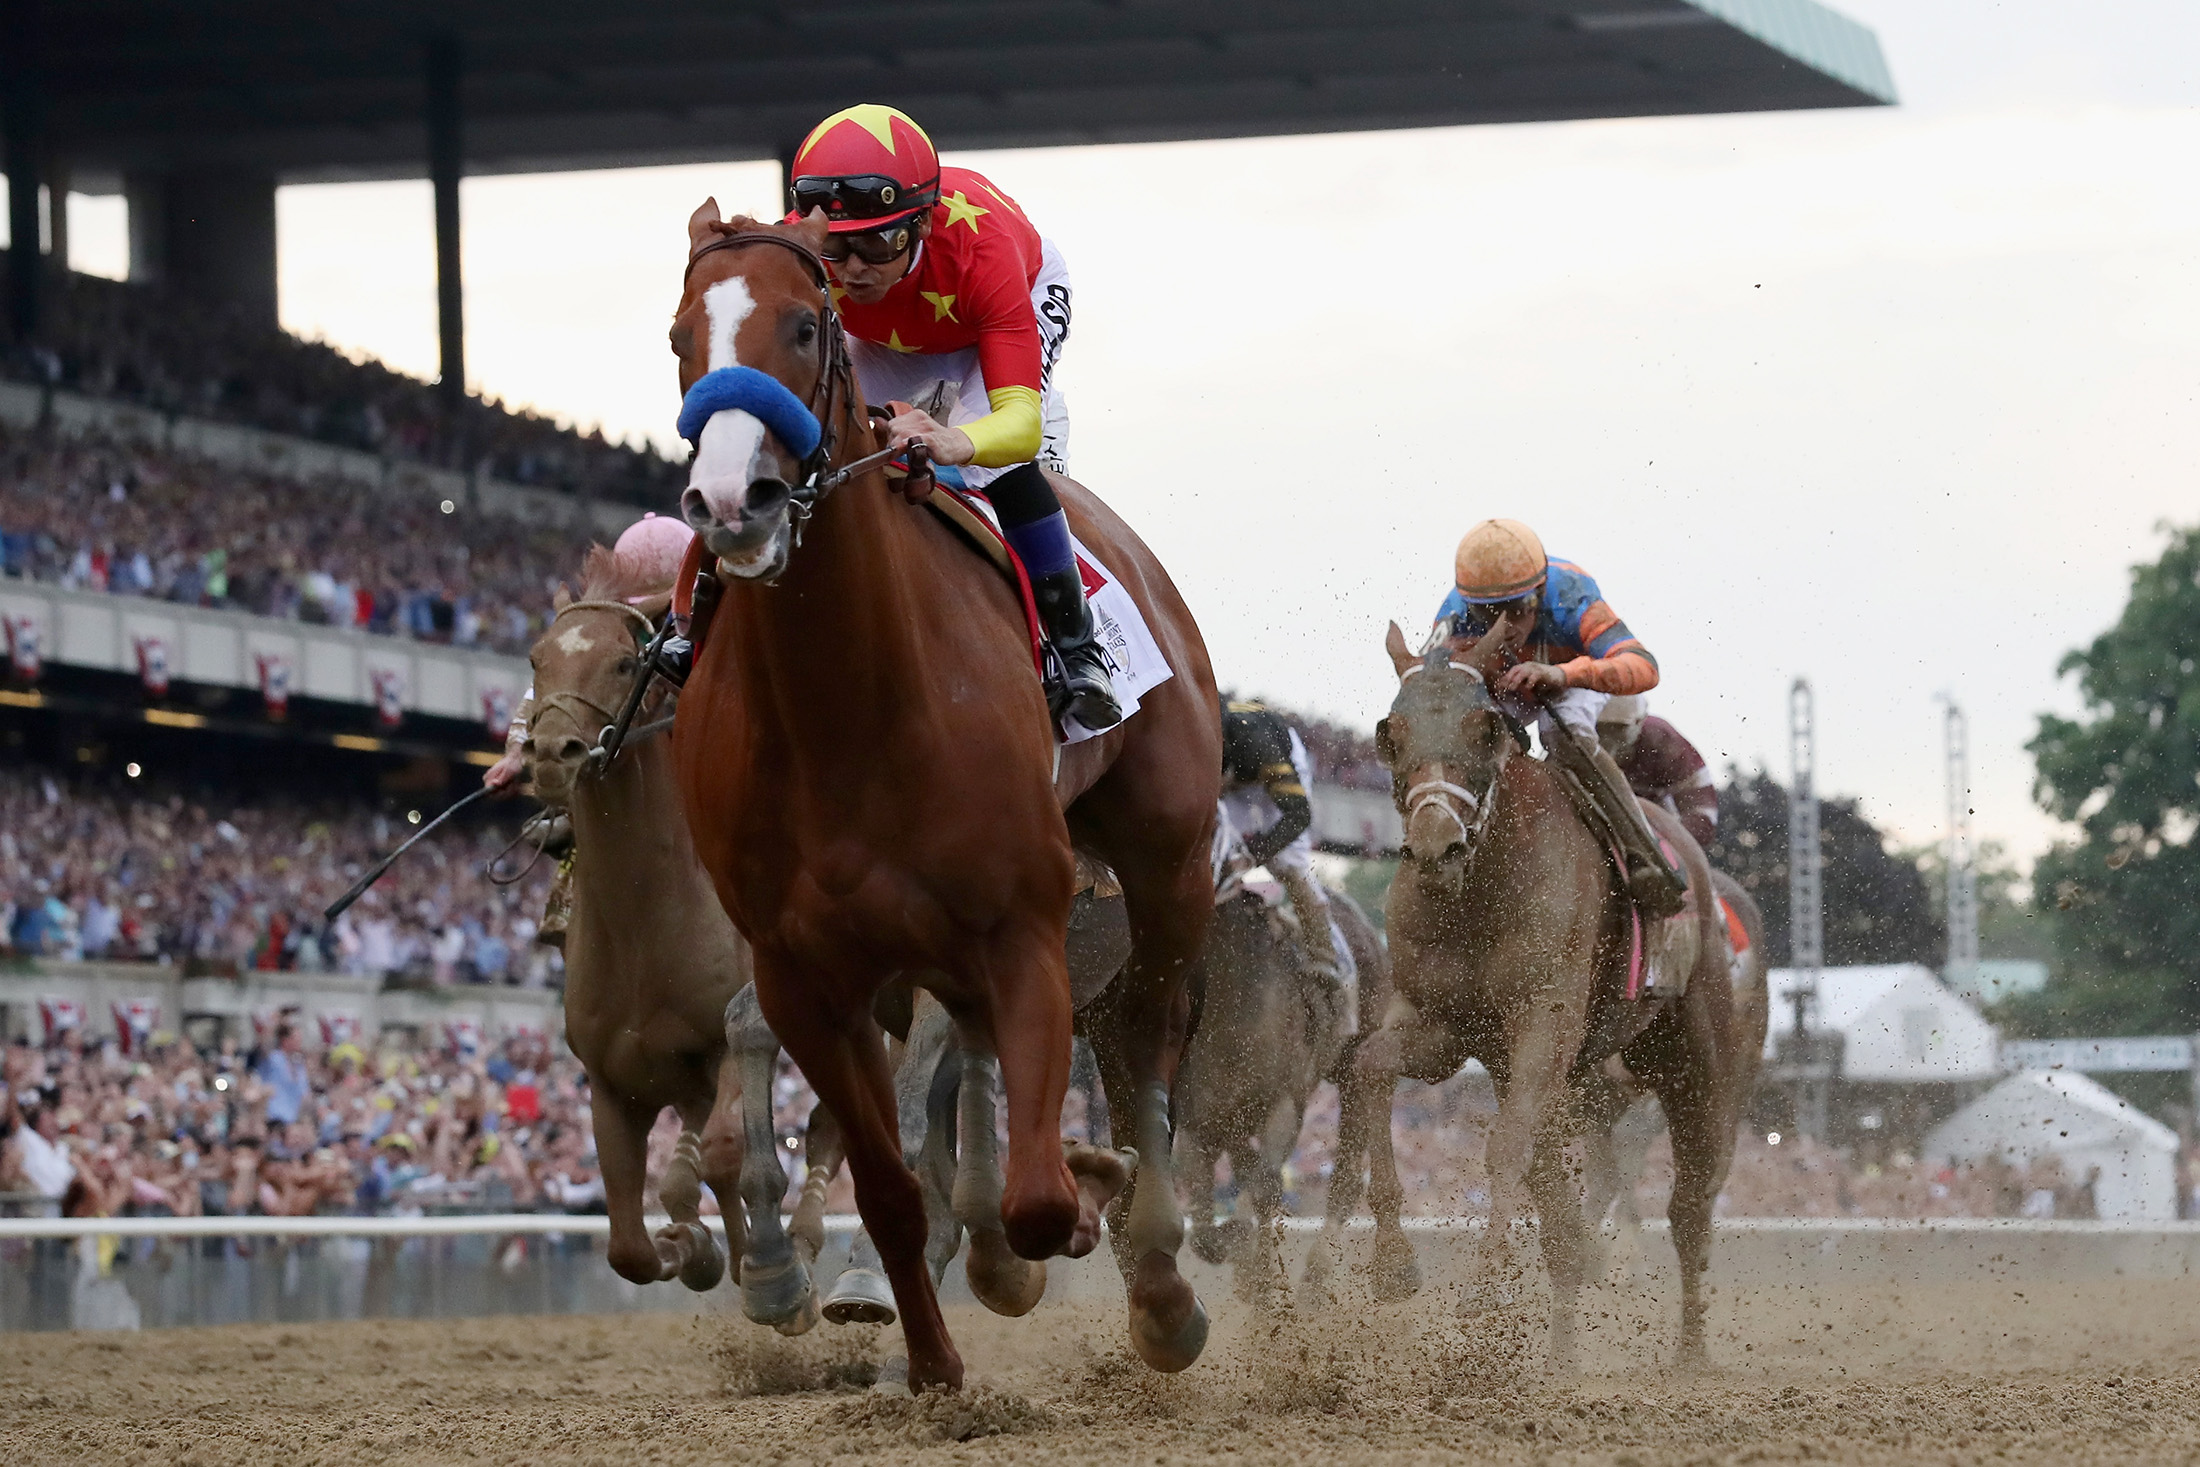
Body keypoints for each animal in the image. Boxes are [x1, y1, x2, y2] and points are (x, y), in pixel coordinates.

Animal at [668, 203, 1223, 1390]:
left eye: (801, 325)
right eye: (681, 337)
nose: (732, 502)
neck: (845, 705)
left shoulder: (1025, 925)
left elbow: (1038, 1197)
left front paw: (1073, 1211)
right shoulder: (802, 975)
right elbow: (884, 1191)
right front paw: (930, 1370)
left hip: (1169, 858)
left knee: (1148, 1027)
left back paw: (1160, 1280)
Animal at [1311, 615, 1760, 1363]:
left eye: (1485, 726)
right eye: (1391, 729)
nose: (1435, 846)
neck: (1478, 895)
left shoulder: (1542, 1024)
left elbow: (1507, 1150)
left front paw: (1484, 1291)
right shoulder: (1445, 1028)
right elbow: (1373, 1067)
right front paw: (1394, 1264)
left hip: (1700, 1061)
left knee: (1691, 1203)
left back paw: (1690, 1352)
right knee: (1567, 1219)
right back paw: (1563, 1351)